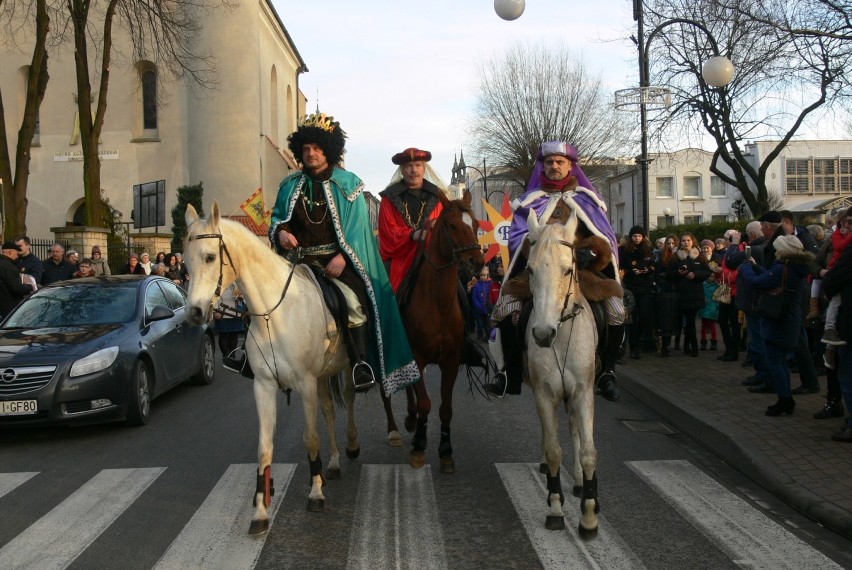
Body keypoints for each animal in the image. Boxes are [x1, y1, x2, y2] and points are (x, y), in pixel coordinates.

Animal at [183, 201, 360, 532]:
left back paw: (354, 445)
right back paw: (332, 462)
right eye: (185, 262)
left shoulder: (305, 383)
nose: (194, 313)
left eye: (210, 257)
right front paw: (260, 511)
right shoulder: (263, 386)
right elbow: (264, 448)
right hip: (322, 376)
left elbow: (310, 437)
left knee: (351, 397)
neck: (273, 313)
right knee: (330, 409)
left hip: (342, 369)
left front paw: (315, 493)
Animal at [380, 190, 486, 470]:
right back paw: (395, 429)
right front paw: (418, 446)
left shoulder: (451, 360)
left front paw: (445, 451)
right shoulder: (417, 356)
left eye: (476, 224)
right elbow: (426, 403)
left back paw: (410, 419)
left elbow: (445, 408)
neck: (437, 302)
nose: (477, 262)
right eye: (452, 225)